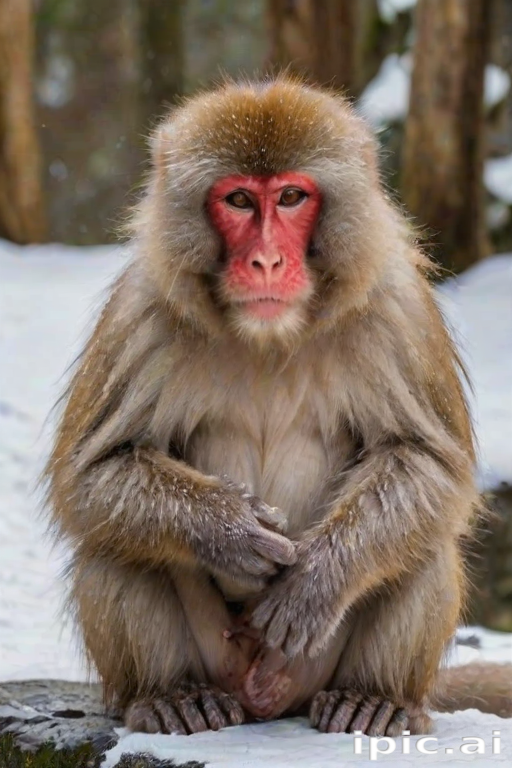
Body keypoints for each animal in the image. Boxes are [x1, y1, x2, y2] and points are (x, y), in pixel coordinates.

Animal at [45, 75, 512, 739]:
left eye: (291, 196)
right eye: (240, 200)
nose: (266, 260)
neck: (269, 335)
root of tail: (263, 695)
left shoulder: (396, 308)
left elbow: (427, 463)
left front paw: (317, 581)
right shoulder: (143, 311)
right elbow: (94, 472)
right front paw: (230, 532)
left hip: (310, 667)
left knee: (423, 546)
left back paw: (377, 699)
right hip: (217, 659)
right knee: (113, 545)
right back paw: (168, 696)